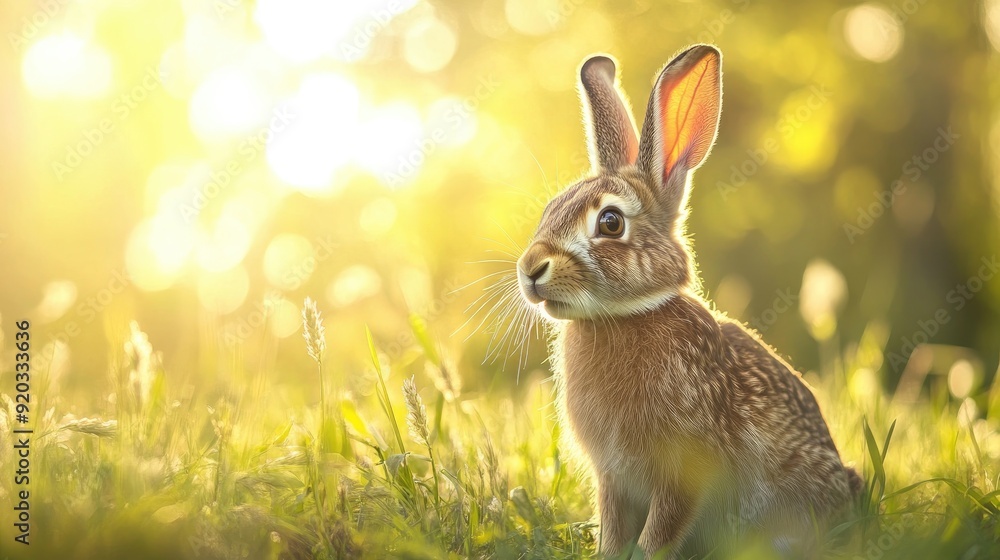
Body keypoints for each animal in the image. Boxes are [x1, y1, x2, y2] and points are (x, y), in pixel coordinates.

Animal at [514, 45, 861, 558]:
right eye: (549, 210)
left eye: (611, 222)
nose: (530, 268)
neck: (625, 316)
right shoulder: (613, 479)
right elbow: (614, 528)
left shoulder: (684, 473)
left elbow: (660, 531)